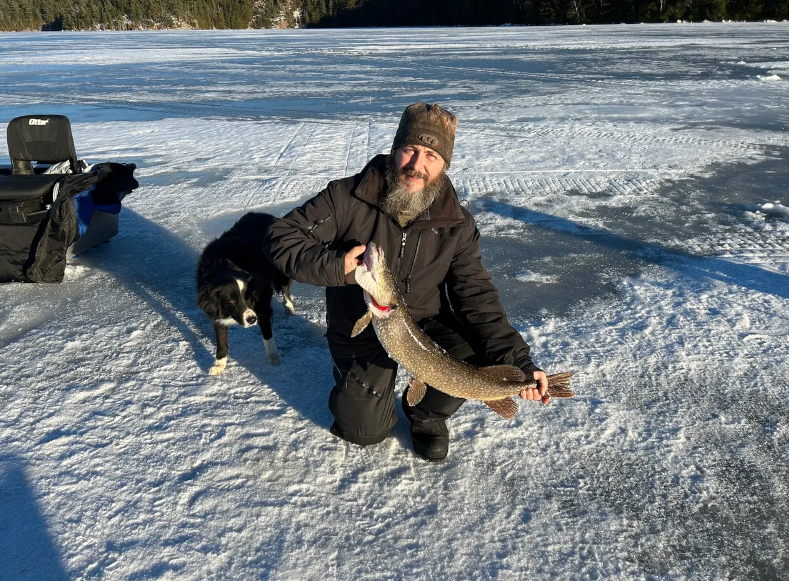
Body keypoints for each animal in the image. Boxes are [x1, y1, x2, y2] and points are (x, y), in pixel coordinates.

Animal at [197, 211, 296, 374]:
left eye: (248, 296)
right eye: (230, 301)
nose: (251, 320)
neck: (225, 265)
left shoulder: (261, 304)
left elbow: (267, 334)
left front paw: (273, 355)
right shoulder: (217, 312)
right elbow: (221, 341)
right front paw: (219, 364)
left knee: (285, 288)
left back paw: (289, 307)